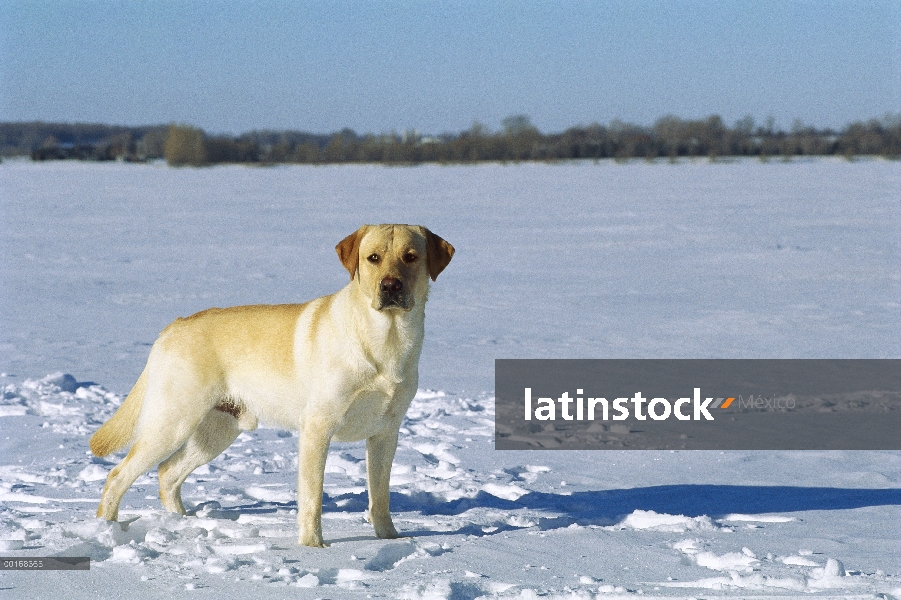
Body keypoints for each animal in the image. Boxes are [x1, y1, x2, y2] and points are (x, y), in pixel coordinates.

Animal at [91, 223, 454, 548]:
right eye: (373, 258)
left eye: (411, 257)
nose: (390, 286)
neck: (385, 340)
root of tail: (172, 327)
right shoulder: (317, 427)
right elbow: (312, 498)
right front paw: (313, 547)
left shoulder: (386, 432)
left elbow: (380, 496)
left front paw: (389, 539)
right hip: (173, 421)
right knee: (118, 476)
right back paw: (106, 530)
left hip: (217, 431)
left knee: (167, 472)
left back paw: (181, 522)